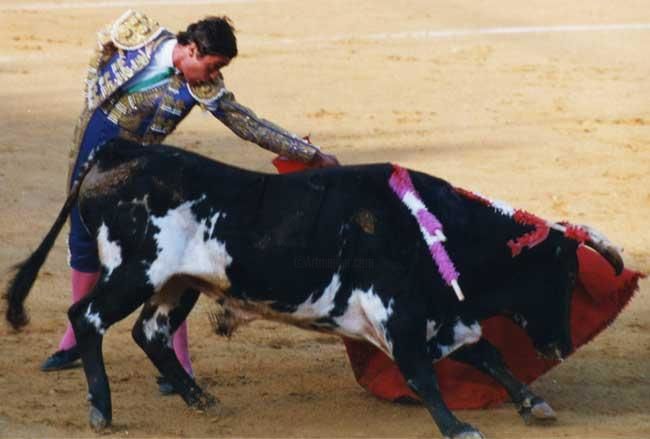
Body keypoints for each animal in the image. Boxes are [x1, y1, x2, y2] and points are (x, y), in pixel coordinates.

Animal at [5, 139, 624, 438]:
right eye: (564, 275)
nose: (559, 343)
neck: (433, 229)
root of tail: (121, 152)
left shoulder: (440, 316)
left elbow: (488, 353)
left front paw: (533, 403)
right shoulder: (397, 312)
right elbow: (423, 373)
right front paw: (457, 427)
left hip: (179, 284)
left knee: (150, 334)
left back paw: (202, 400)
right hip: (136, 272)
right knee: (87, 317)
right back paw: (102, 411)